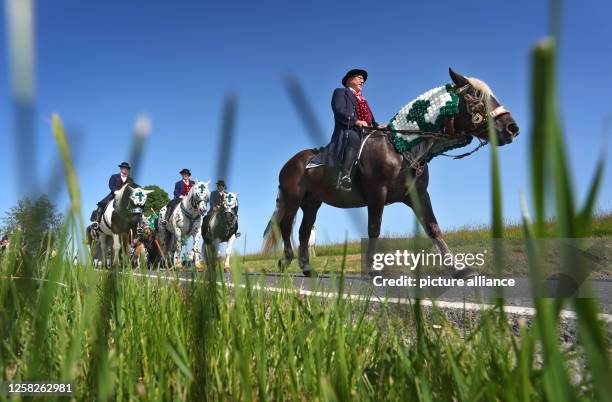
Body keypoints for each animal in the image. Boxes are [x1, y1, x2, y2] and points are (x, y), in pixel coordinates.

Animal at [266, 69, 520, 276]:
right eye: (477, 97)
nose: (512, 128)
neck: (400, 148)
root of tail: (289, 164)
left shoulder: (418, 195)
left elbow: (433, 228)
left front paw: (459, 268)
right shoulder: (376, 194)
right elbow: (374, 229)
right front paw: (372, 269)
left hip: (312, 203)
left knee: (303, 231)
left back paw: (306, 268)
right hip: (293, 199)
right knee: (286, 227)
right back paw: (286, 261)